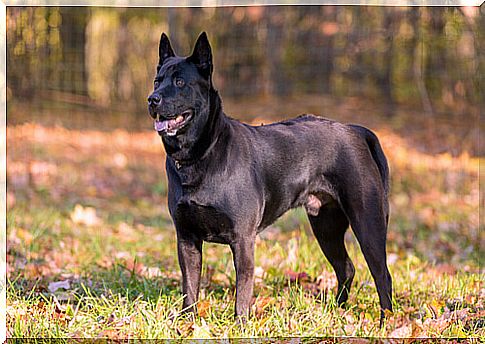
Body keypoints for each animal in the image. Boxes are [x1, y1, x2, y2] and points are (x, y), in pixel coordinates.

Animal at [146, 31, 392, 322]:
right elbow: (190, 287)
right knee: (346, 268)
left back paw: (385, 322)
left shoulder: (243, 240)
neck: (201, 154)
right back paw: (338, 311)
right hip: (326, 227)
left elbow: (243, 290)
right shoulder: (186, 238)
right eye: (157, 81)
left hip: (368, 223)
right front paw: (188, 322)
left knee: (382, 275)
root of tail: (355, 130)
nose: (152, 99)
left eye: (180, 82)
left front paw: (240, 324)